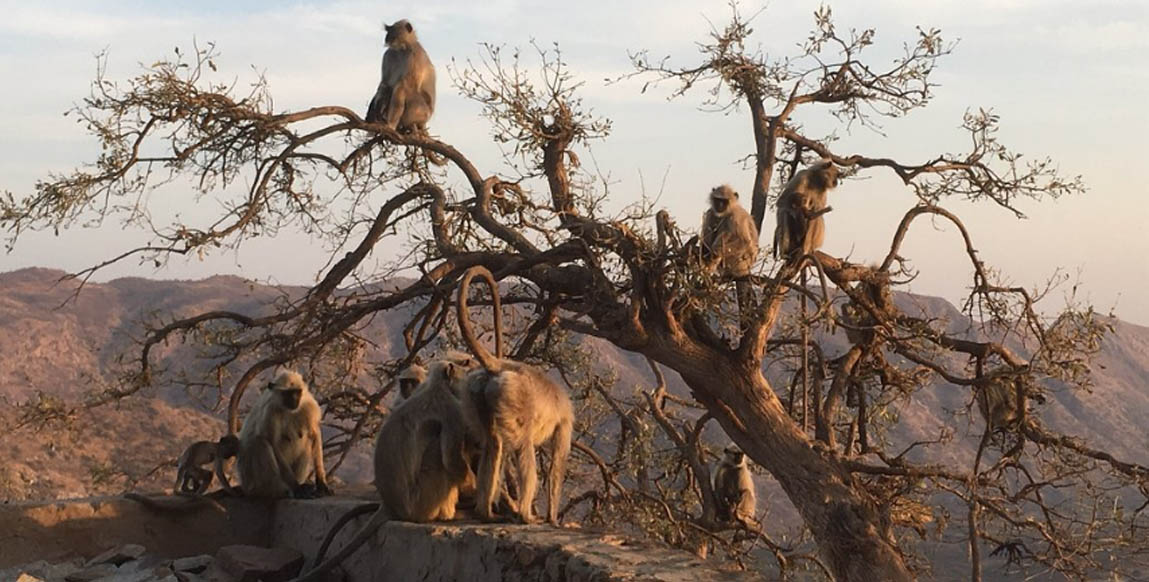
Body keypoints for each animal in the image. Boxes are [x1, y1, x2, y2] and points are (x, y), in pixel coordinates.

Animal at [457, 266, 574, 525]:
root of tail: (502, 366)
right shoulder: (566, 420)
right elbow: (556, 466)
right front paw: (553, 518)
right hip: (513, 396)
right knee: (523, 446)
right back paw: (524, 515)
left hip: (478, 394)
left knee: (493, 444)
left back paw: (485, 512)